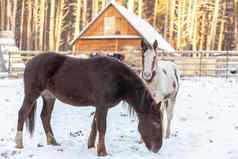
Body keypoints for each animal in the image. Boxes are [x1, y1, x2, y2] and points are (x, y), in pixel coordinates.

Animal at [15, 52, 164, 156]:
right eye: (156, 123)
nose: (157, 148)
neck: (117, 79)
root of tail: (30, 62)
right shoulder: (102, 105)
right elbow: (102, 127)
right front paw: (102, 151)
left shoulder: (99, 106)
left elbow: (95, 125)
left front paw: (91, 146)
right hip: (32, 94)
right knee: (22, 113)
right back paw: (19, 144)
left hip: (49, 97)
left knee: (45, 116)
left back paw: (53, 142)